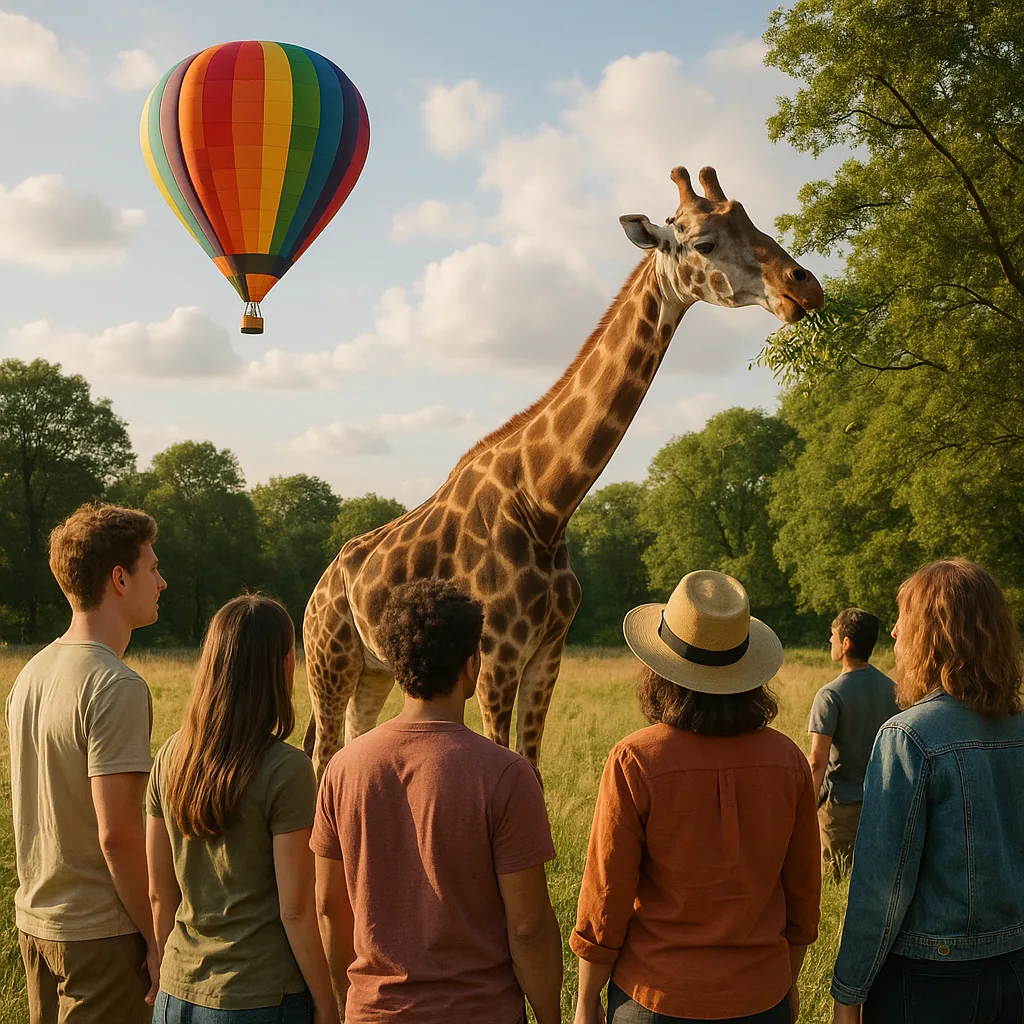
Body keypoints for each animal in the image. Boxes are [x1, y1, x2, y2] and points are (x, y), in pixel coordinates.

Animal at [302, 164, 823, 778]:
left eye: (753, 220)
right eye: (704, 243)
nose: (804, 287)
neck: (545, 502)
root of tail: (316, 590)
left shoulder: (548, 654)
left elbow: (533, 767)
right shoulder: (499, 656)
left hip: (373, 669)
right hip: (328, 659)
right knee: (321, 756)